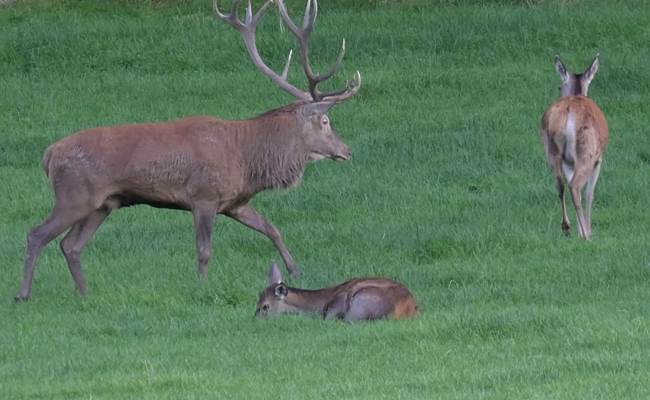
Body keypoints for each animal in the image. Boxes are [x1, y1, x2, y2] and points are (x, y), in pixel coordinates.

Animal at [15, 0, 362, 302]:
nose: (347, 150)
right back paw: (23, 294)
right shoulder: (204, 195)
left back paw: (85, 292)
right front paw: (202, 287)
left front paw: (296, 272)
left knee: (71, 245)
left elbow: (272, 228)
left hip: (102, 204)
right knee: (37, 234)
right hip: (74, 195)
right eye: (326, 121)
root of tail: (49, 155)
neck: (247, 157)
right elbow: (204, 250)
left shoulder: (235, 202)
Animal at [540, 54, 608, 240]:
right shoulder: (598, 160)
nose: (558, 89)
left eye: (559, 86)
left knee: (561, 183)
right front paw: (587, 230)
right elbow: (590, 193)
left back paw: (566, 226)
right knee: (575, 186)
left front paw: (579, 229)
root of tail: (568, 110)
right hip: (587, 151)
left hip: (552, 151)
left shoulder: (568, 161)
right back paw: (586, 234)